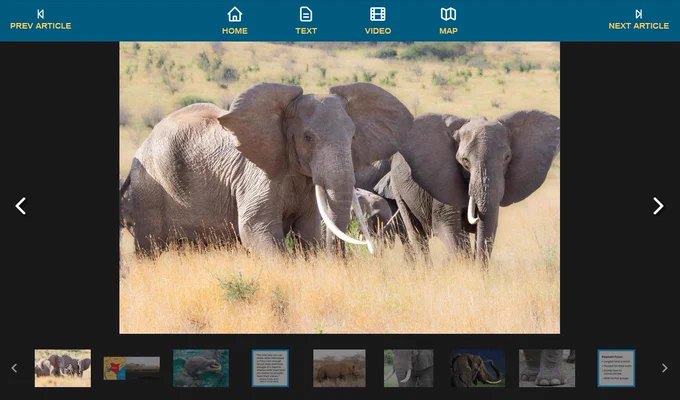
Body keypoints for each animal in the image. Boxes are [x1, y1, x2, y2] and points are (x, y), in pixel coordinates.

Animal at [119, 82, 414, 257]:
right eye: (308, 138)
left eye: (353, 137)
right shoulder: (256, 174)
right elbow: (256, 229)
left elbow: (308, 230)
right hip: (149, 187)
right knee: (149, 247)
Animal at [391, 110, 560, 266]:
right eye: (465, 160)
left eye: (507, 158)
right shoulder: (443, 177)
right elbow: (447, 224)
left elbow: (489, 225)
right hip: (396, 187)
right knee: (417, 234)